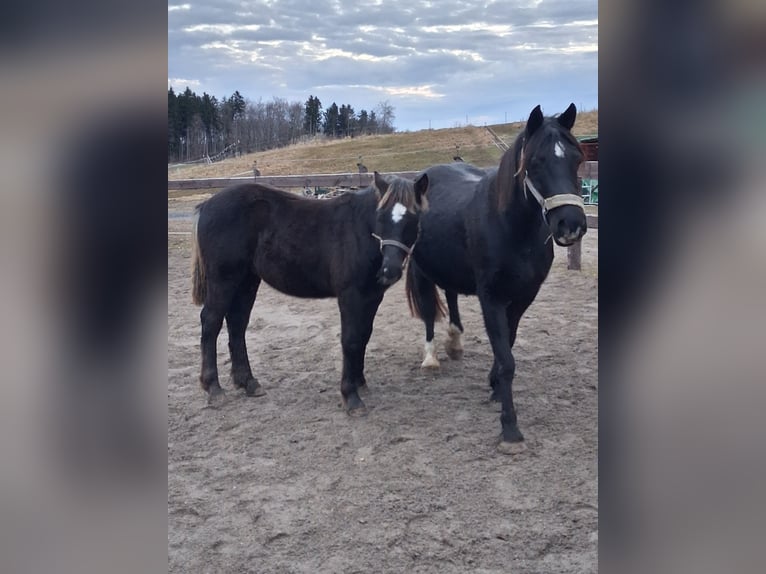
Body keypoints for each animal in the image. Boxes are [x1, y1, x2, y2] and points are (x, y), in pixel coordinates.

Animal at [191, 172, 429, 414]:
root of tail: (207, 205)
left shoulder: (372, 297)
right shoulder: (350, 296)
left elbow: (364, 335)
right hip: (224, 280)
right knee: (211, 323)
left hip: (247, 280)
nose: (389, 270)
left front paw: (360, 381)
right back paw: (214, 388)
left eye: (413, 218)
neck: (360, 230)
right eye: (381, 216)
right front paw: (350, 395)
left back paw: (248, 382)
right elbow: (351, 340)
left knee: (237, 324)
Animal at [404, 104, 587, 454]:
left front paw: (494, 388)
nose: (570, 225)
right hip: (422, 270)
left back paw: (455, 343)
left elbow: (508, 346)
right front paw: (510, 428)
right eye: (535, 162)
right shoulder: (492, 298)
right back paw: (431, 358)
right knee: (429, 310)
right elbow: (507, 361)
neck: (512, 227)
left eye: (576, 158)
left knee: (450, 297)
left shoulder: (523, 297)